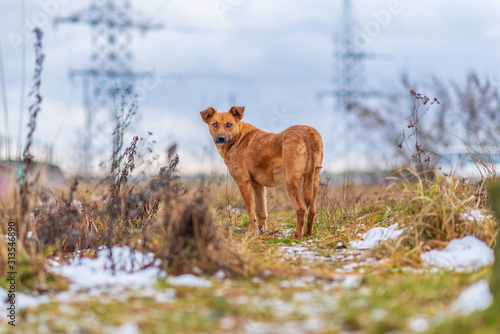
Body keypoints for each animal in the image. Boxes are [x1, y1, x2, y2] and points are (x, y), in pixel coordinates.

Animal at [200, 106, 324, 237]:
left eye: (229, 124)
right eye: (214, 124)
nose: (221, 138)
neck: (238, 138)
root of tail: (308, 131)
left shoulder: (243, 183)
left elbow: (251, 211)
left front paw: (251, 232)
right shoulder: (258, 186)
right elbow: (261, 211)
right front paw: (261, 231)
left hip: (290, 181)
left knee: (301, 208)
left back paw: (297, 235)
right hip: (314, 181)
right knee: (312, 210)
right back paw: (308, 233)